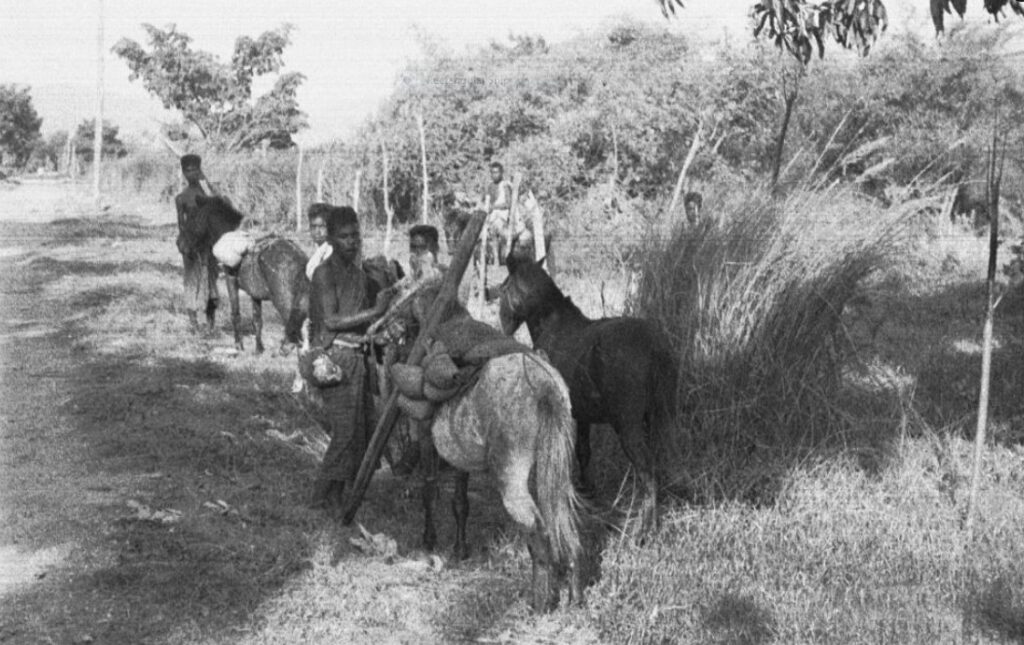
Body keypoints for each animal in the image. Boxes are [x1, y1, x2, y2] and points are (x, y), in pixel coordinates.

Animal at [190, 195, 305, 354]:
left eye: (197, 218)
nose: (188, 245)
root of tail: (298, 257)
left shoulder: (230, 281)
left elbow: (236, 314)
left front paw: (239, 345)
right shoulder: (255, 294)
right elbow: (257, 320)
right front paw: (259, 349)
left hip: (282, 298)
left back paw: (286, 348)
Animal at [497, 256, 679, 536]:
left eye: (504, 286)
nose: (503, 324)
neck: (553, 324)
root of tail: (654, 345)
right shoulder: (582, 415)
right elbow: (584, 452)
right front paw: (587, 491)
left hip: (629, 427)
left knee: (648, 473)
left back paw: (644, 528)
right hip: (662, 418)